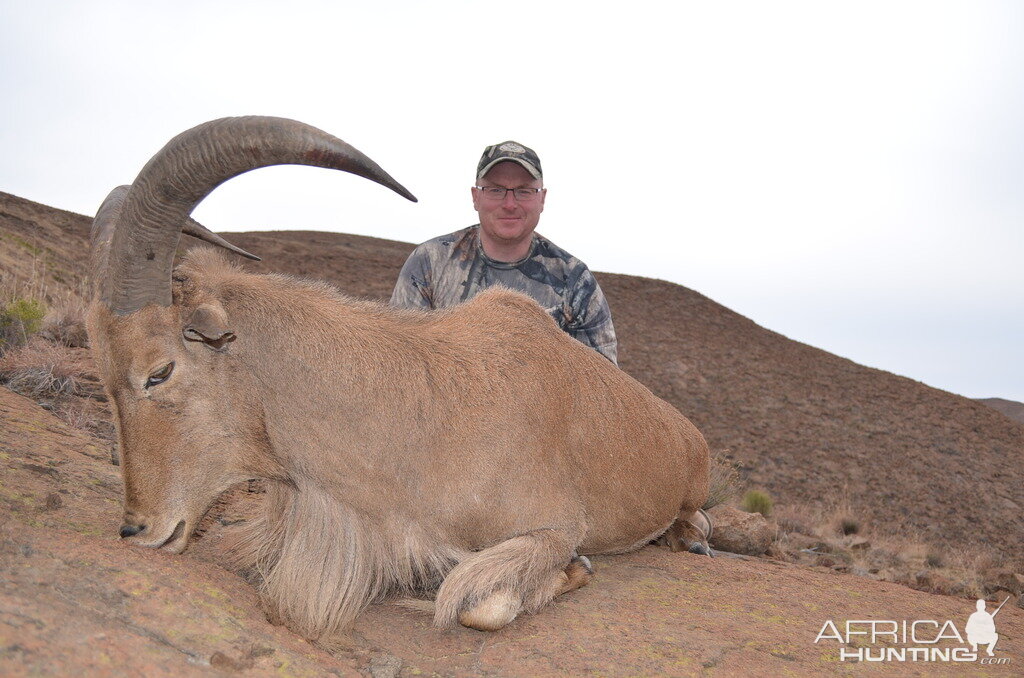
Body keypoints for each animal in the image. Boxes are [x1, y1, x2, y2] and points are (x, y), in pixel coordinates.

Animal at [88, 114, 708, 639]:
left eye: (159, 371)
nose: (137, 529)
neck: (412, 416)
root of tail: (686, 433)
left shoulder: (552, 528)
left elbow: (482, 605)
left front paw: (576, 571)